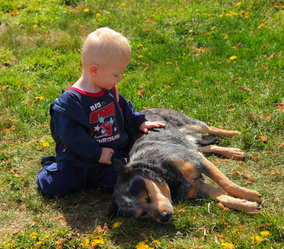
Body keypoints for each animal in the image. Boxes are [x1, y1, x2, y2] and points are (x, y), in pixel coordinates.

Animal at [108, 108, 262, 223]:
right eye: (142, 215)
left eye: (147, 197)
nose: (164, 217)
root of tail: (142, 110)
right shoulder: (197, 186)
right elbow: (222, 197)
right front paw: (248, 206)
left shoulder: (197, 161)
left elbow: (226, 183)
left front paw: (251, 195)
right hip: (188, 142)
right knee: (204, 147)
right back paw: (233, 152)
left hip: (190, 123)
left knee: (210, 128)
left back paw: (234, 133)